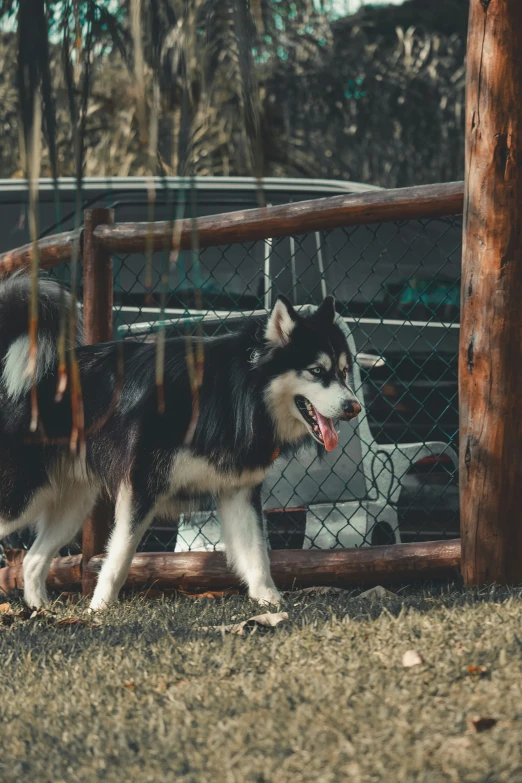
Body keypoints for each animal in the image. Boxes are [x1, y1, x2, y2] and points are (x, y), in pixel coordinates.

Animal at [0, 276, 360, 612]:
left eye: (345, 372)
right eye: (317, 371)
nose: (354, 407)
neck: (237, 391)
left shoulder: (238, 491)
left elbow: (257, 554)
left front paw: (270, 601)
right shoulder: (141, 486)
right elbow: (120, 557)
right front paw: (99, 608)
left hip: (71, 504)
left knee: (32, 561)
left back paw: (39, 610)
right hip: (20, 498)